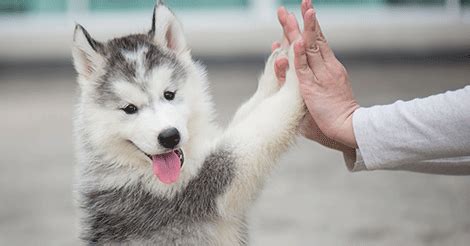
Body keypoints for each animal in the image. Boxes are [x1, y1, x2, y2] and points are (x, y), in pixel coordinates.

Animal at [72, 1, 304, 244]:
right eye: (130, 109)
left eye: (169, 94)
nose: (169, 136)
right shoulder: (203, 185)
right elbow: (260, 125)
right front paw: (298, 71)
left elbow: (250, 112)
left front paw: (279, 67)